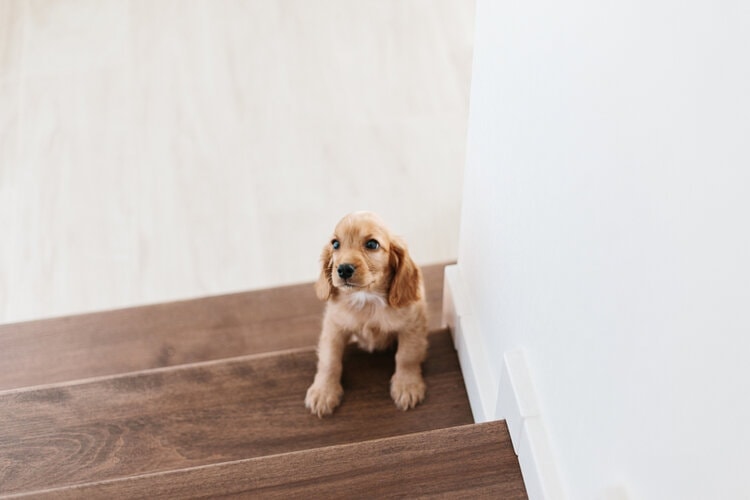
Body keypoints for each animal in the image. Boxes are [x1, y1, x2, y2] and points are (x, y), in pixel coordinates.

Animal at [306, 211, 428, 418]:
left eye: (372, 244)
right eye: (335, 244)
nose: (343, 269)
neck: (367, 300)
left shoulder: (412, 326)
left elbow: (406, 356)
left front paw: (407, 385)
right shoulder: (333, 327)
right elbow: (329, 360)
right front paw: (324, 391)